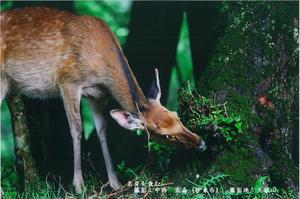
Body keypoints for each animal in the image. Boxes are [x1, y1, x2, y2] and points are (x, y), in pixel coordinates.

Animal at [0, 7, 205, 193]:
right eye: (163, 135)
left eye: (176, 115)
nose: (201, 143)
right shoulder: (68, 82)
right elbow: (77, 130)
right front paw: (79, 186)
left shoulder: (97, 95)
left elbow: (102, 130)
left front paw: (116, 184)